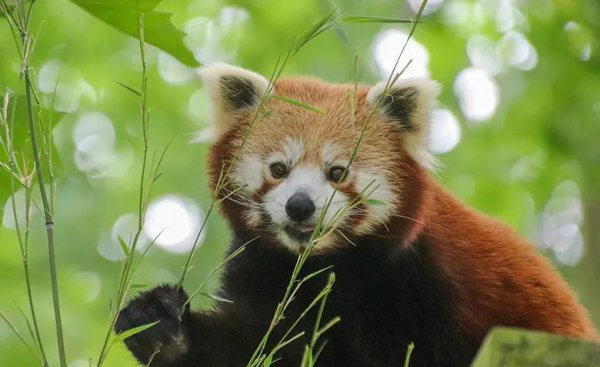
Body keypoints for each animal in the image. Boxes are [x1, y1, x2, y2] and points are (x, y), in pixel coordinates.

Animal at [115, 64, 596, 367]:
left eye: (337, 172)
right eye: (279, 169)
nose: (300, 206)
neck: (330, 264)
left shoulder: (422, 282)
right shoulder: (264, 270)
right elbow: (259, 345)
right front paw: (162, 329)